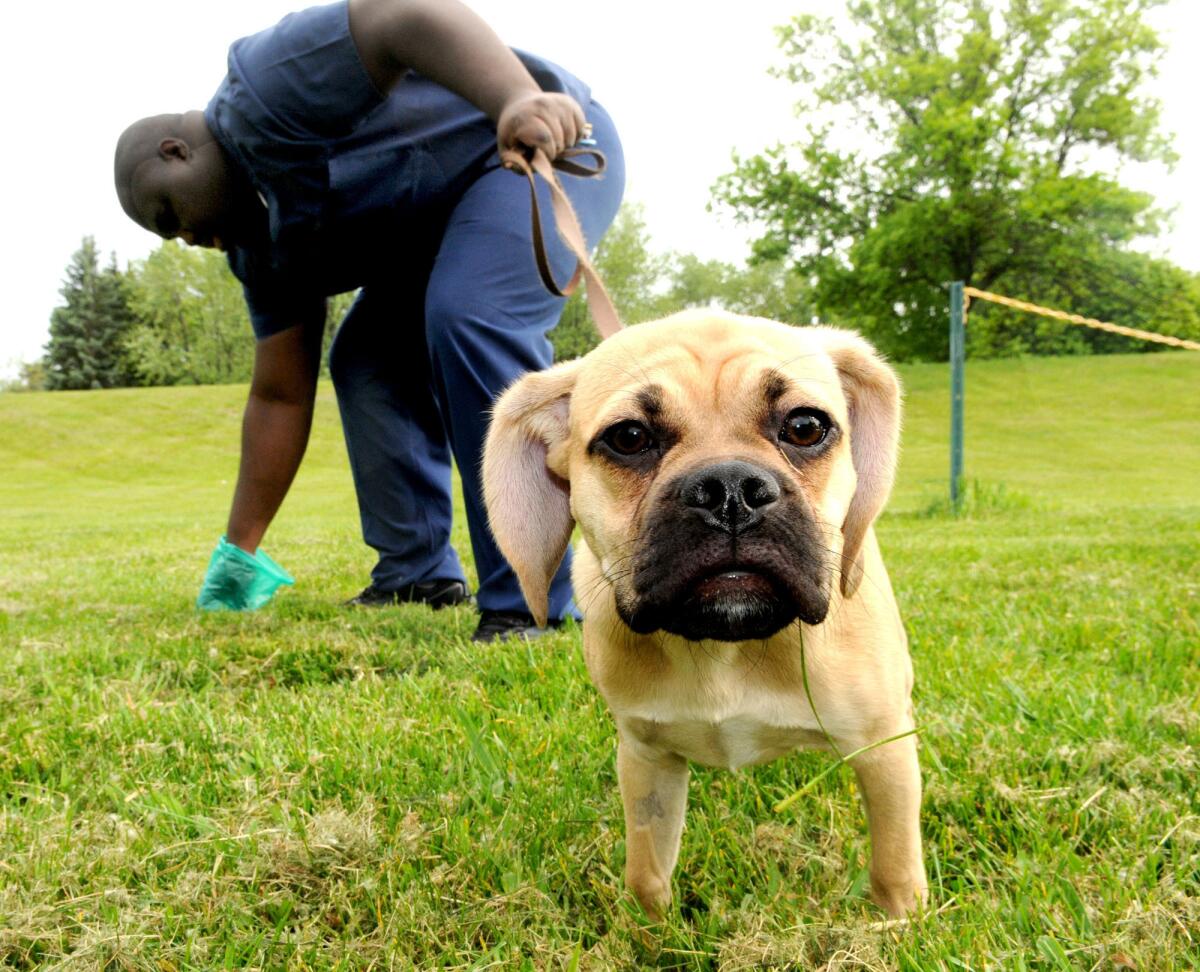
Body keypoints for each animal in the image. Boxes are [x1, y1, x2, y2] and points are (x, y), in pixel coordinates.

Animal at [480, 309, 926, 916]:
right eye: (629, 437)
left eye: (805, 427)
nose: (730, 490)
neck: (727, 645)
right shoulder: (646, 758)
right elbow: (646, 874)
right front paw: (650, 931)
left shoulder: (886, 750)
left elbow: (894, 868)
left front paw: (900, 925)